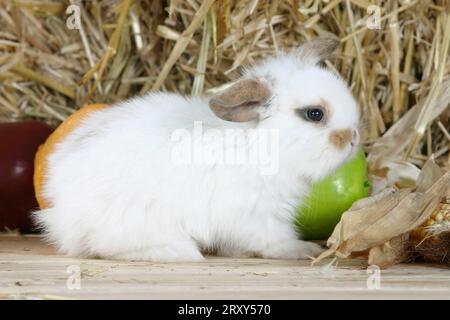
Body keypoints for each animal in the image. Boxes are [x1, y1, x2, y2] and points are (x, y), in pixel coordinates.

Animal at [33, 37, 360, 262]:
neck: (257, 143)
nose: (354, 138)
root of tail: (59, 206)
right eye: (314, 114)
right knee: (105, 246)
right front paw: (304, 249)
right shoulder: (257, 215)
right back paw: (177, 251)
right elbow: (274, 241)